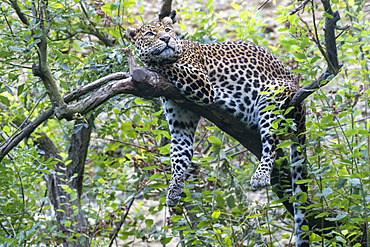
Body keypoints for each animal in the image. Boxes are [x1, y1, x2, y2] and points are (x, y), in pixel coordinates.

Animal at [127, 16, 310, 246]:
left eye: (168, 29)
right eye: (150, 34)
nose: (166, 39)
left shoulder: (202, 84)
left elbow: (170, 65)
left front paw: (151, 62)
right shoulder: (180, 124)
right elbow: (178, 159)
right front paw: (174, 191)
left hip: (271, 97)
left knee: (272, 142)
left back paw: (260, 176)